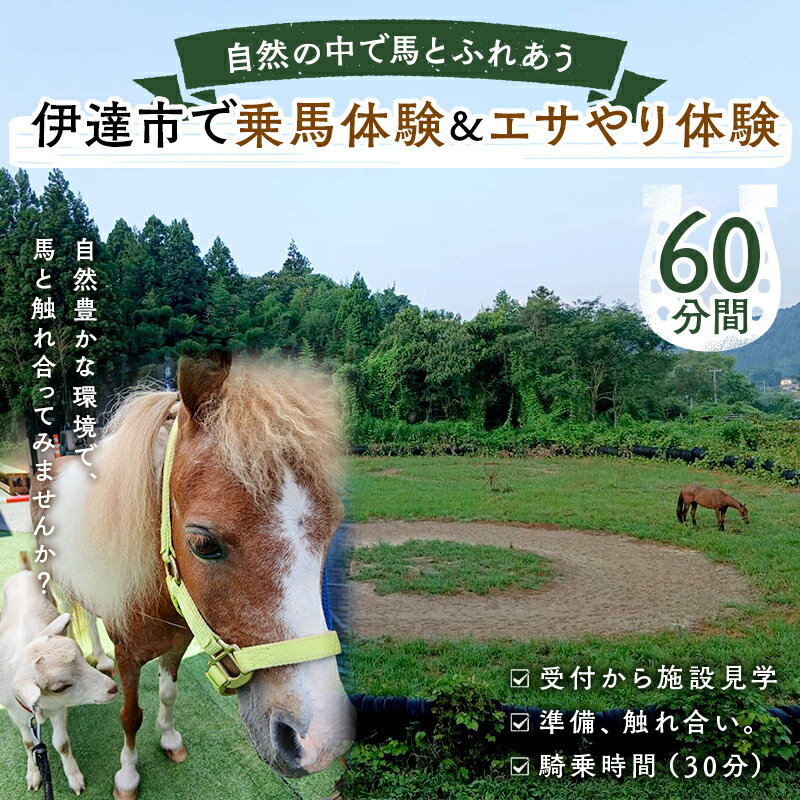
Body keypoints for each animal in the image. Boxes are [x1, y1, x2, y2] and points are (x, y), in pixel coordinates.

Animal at [31, 353, 354, 799]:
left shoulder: (177, 644)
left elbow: (168, 694)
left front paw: (169, 739)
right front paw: (127, 775)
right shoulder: (129, 655)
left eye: (334, 528)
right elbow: (130, 714)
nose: (321, 741)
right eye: (203, 543)